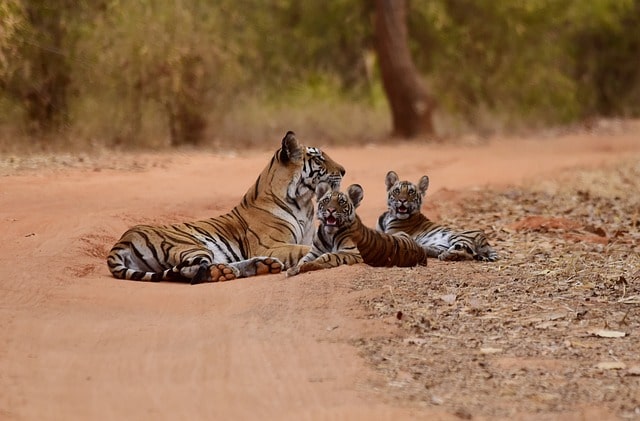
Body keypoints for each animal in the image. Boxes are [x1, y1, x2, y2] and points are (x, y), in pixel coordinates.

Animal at [107, 131, 345, 284]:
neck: (303, 202)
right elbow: (304, 250)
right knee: (190, 271)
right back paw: (227, 272)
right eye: (319, 159)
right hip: (190, 245)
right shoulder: (270, 245)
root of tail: (122, 240)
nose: (344, 171)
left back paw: (262, 266)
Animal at [287, 182, 428, 276]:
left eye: (341, 202)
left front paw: (308, 266)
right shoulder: (314, 251)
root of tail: (421, 250)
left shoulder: (352, 253)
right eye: (326, 200)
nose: (331, 210)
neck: (329, 234)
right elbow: (303, 259)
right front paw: (294, 269)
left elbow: (328, 256)